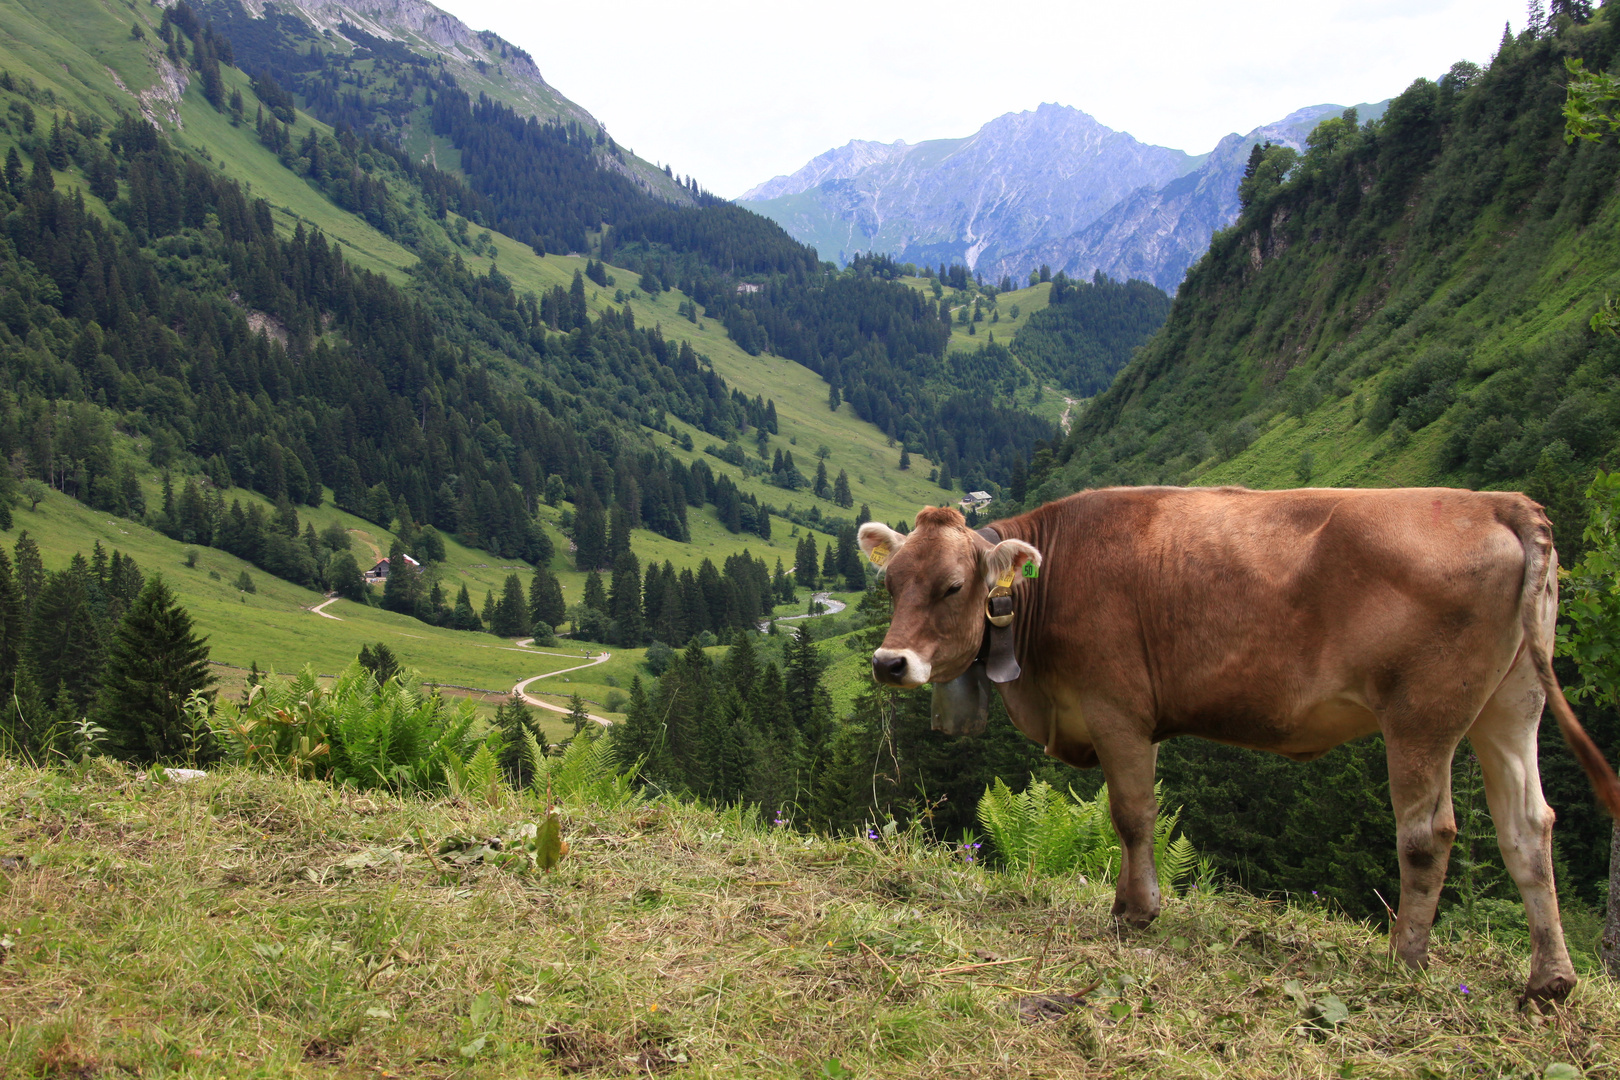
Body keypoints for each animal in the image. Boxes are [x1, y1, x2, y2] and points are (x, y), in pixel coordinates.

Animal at [861, 488, 1620, 1003]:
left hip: (1422, 714)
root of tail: (1497, 502)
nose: (889, 663)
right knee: (1528, 826)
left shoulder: (1118, 710)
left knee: (1428, 833)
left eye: (953, 586)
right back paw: (1550, 979)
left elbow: (1132, 815)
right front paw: (1124, 904)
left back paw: (1404, 958)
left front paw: (1137, 913)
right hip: (1512, 704)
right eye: (890, 583)